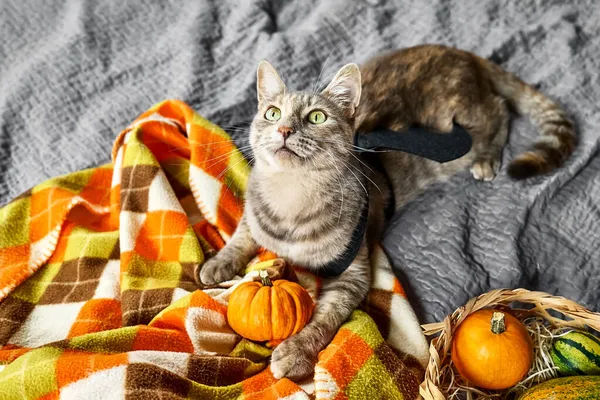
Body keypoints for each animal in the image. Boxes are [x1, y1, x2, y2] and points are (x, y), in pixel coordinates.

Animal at [198, 43, 576, 382]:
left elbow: (324, 320)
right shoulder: (254, 217)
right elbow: (242, 234)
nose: (284, 129)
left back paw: (487, 158)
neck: (291, 197)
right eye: (272, 113)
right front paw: (218, 262)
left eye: (317, 117)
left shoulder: (351, 273)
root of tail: (462, 53)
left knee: (499, 111)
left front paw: (296, 351)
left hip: (472, 118)